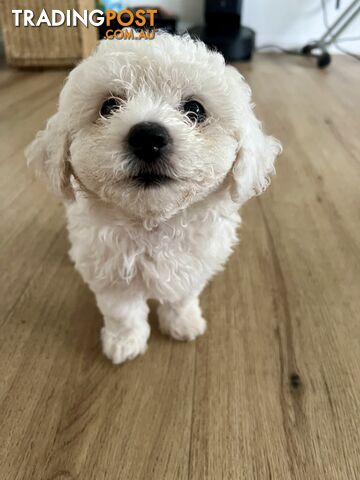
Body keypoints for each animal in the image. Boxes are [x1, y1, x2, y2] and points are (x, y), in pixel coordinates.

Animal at [26, 32, 282, 364]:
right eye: (109, 106)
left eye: (195, 110)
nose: (148, 137)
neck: (153, 223)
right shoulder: (112, 276)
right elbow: (123, 313)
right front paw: (125, 342)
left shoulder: (193, 265)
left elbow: (182, 297)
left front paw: (183, 323)